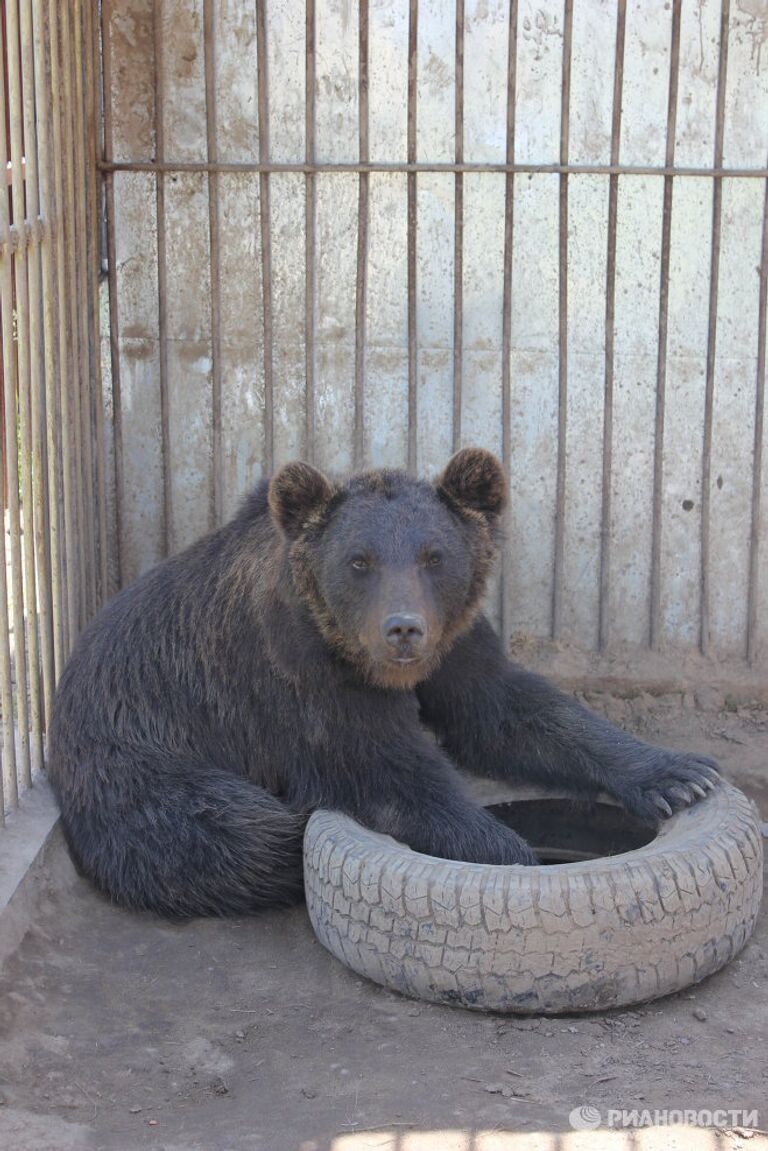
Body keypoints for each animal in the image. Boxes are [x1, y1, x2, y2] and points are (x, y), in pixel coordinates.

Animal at [48, 446, 723, 916]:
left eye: (434, 556)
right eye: (359, 561)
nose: (403, 629)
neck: (360, 659)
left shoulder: (454, 642)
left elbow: (507, 711)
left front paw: (680, 775)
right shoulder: (293, 680)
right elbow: (388, 771)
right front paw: (514, 853)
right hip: (140, 765)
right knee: (241, 834)